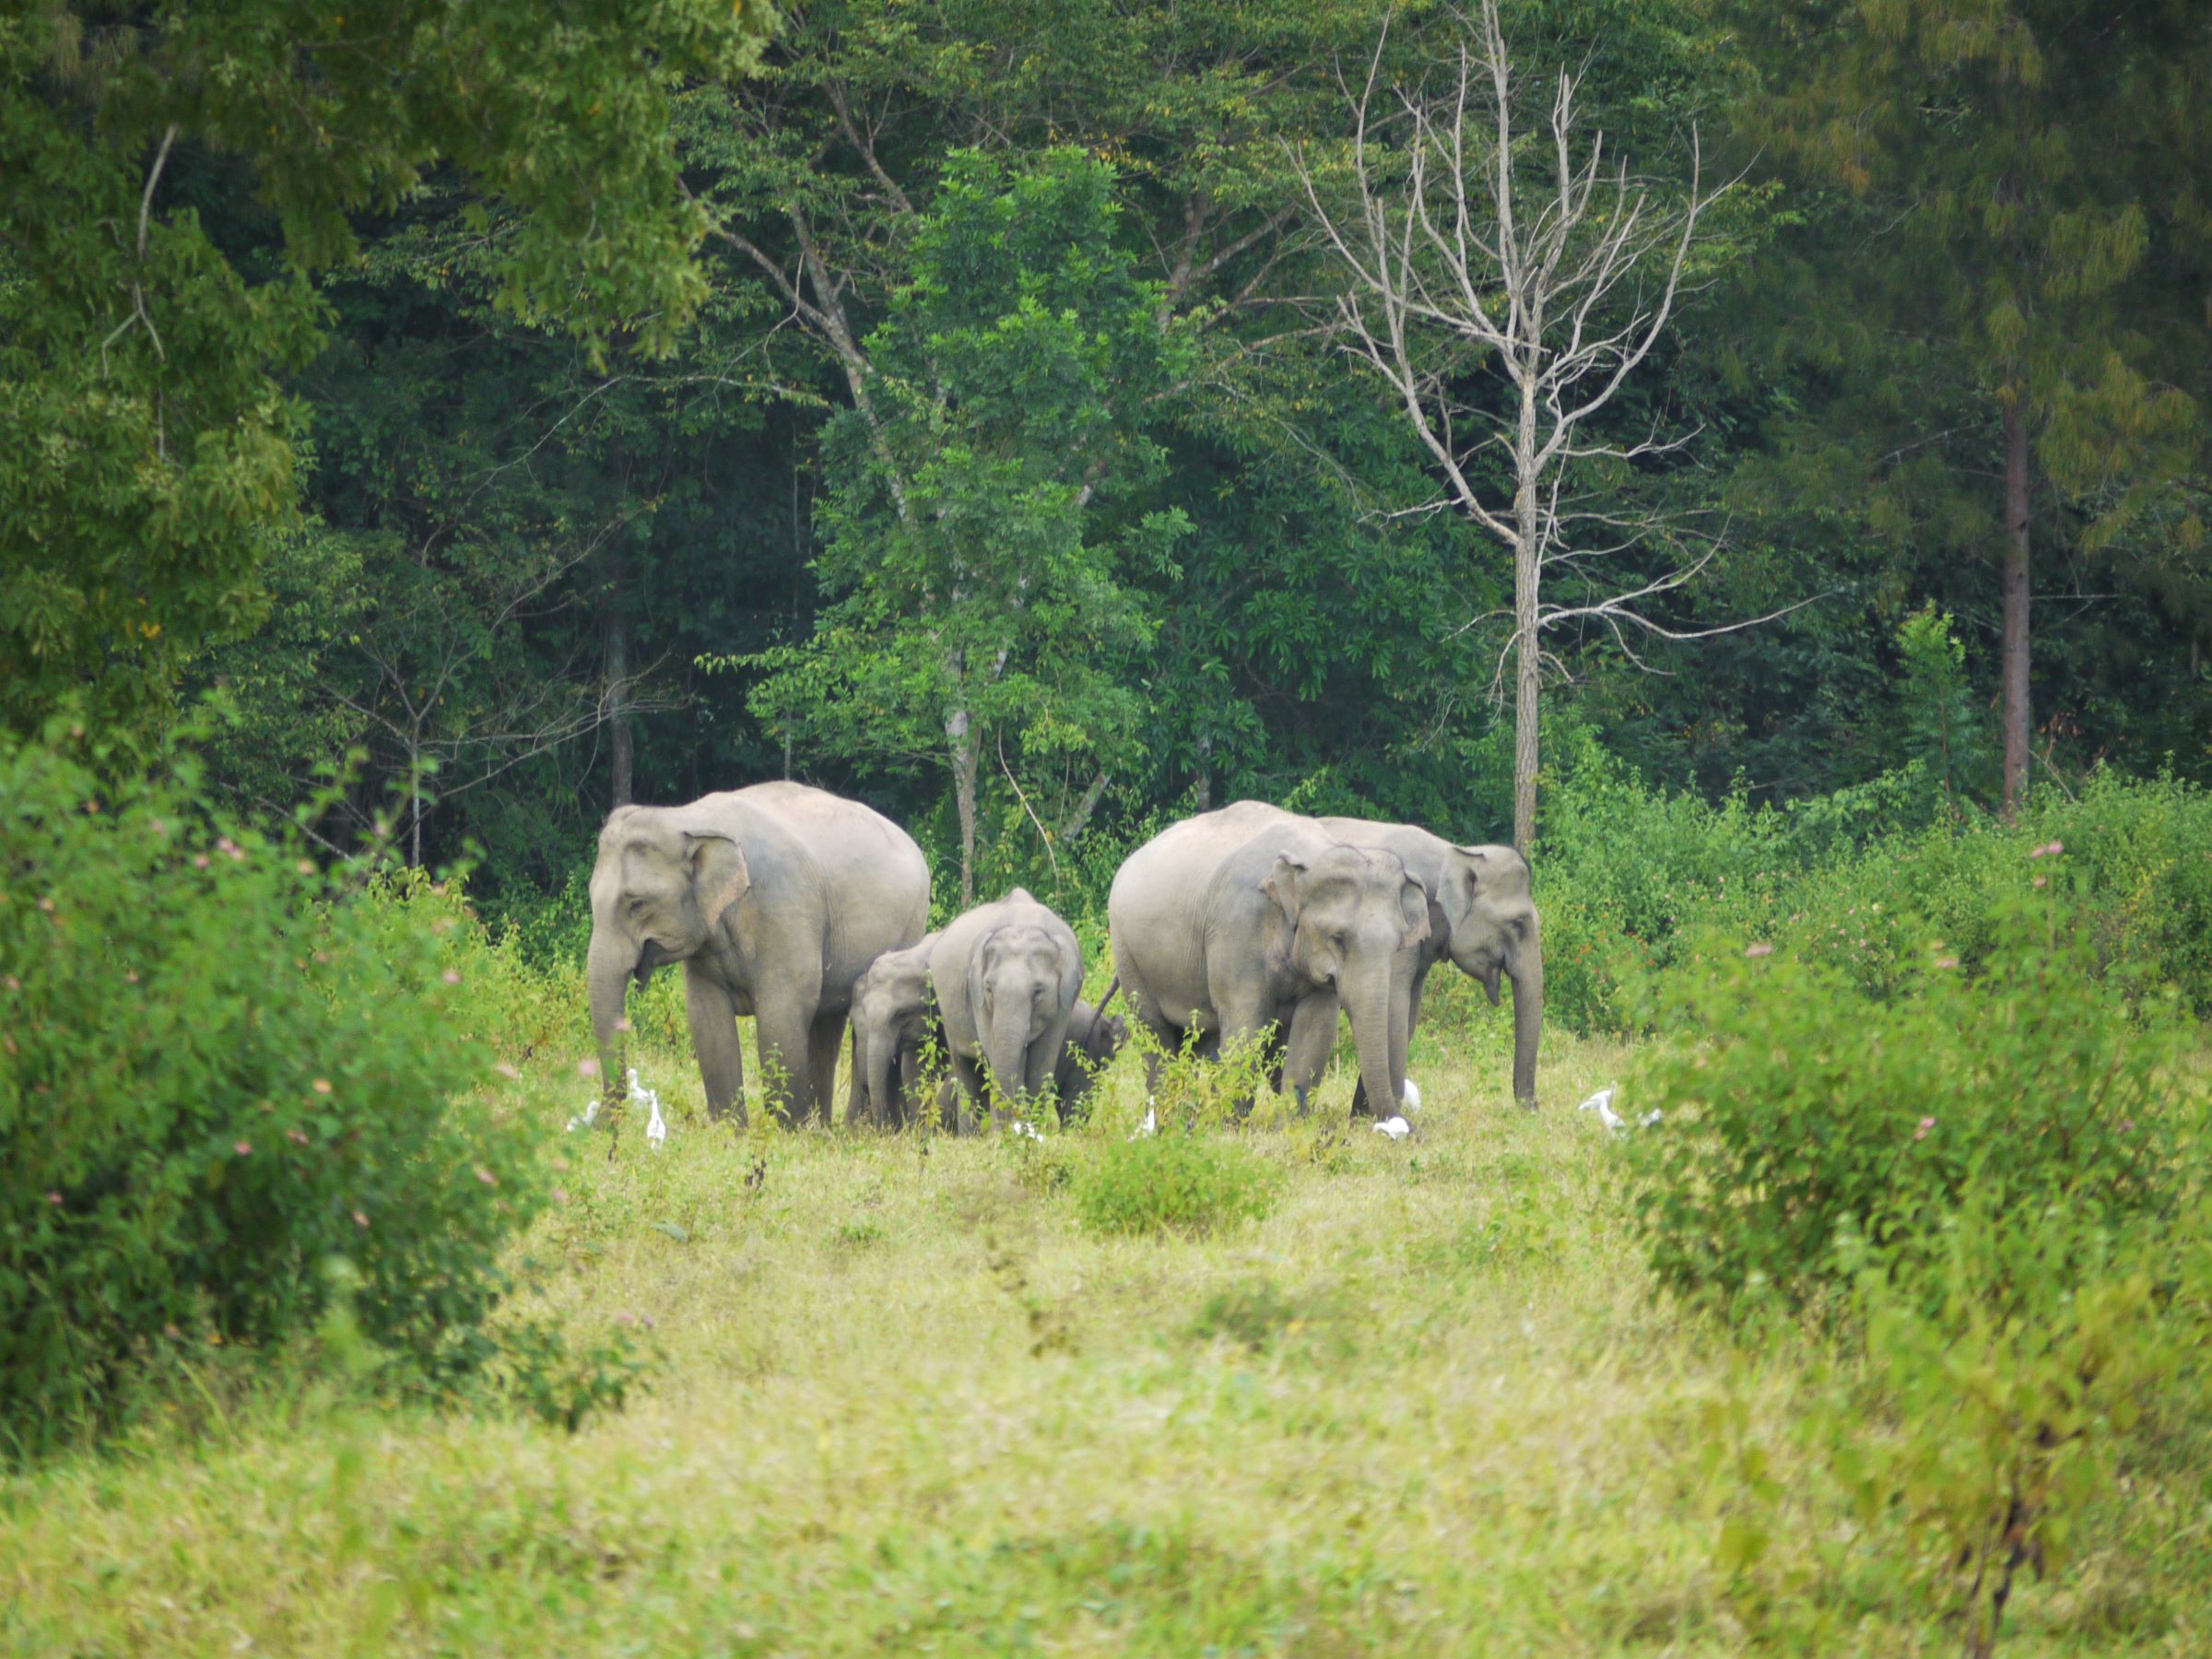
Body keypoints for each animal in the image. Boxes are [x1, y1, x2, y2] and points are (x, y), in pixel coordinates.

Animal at [583, 782, 929, 1132]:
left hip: (910, 924)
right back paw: (821, 1126)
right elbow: (706, 1017)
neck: (689, 818)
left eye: (637, 904)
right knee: (828, 1022)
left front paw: (786, 1131)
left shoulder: (783, 909)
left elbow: (782, 1012)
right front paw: (731, 1131)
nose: (600, 1124)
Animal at [924, 888, 1079, 1141]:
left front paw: (1029, 1131)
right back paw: (969, 1138)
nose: (1014, 1127)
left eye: (1038, 992)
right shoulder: (977, 994)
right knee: (965, 1068)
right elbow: (996, 1052)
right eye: (989, 989)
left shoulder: (1064, 1001)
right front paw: (1002, 1136)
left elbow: (1042, 1061)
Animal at [1106, 800, 1433, 1119]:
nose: (1397, 1124)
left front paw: (1292, 1123)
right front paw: (1231, 1123)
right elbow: (1245, 1020)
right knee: (1154, 1031)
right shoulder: (1236, 926)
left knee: (1200, 1037)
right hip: (1128, 954)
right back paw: (1168, 1117)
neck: (1311, 855)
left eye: (1397, 943)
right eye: (1337, 938)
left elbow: (1315, 1027)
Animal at [1309, 822, 1539, 1119]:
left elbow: (1410, 1012)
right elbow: (1394, 1008)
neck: (1455, 851)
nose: (1533, 1108)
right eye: (1518, 923)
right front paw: (1387, 1120)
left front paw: (1362, 1117)